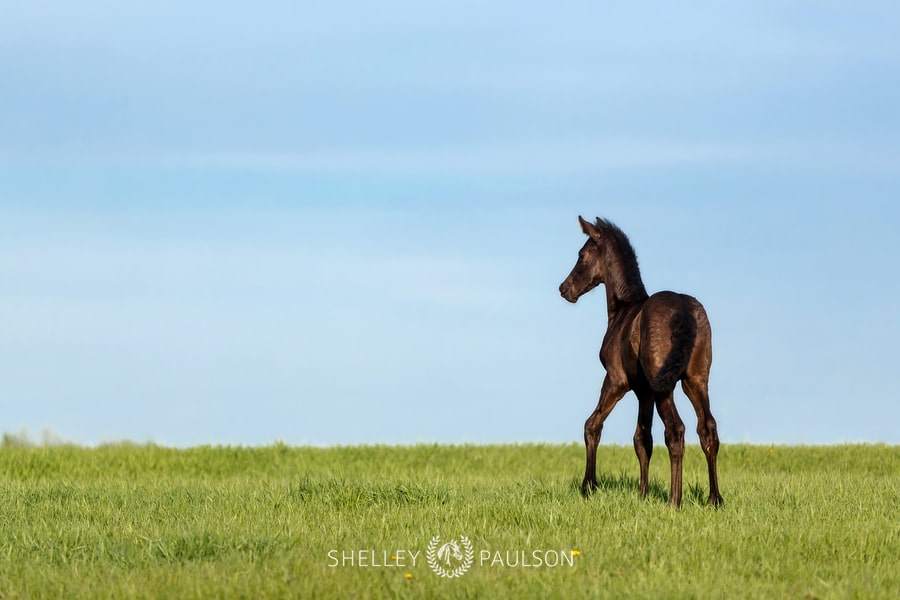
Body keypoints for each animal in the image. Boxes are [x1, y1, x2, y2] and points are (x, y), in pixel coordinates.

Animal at [560, 216, 720, 506]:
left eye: (582, 255)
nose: (564, 289)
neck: (623, 310)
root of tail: (684, 310)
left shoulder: (617, 380)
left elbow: (592, 425)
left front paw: (589, 487)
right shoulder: (643, 391)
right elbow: (642, 438)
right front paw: (643, 494)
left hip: (664, 385)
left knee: (676, 430)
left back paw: (675, 500)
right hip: (696, 380)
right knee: (707, 429)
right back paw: (715, 498)